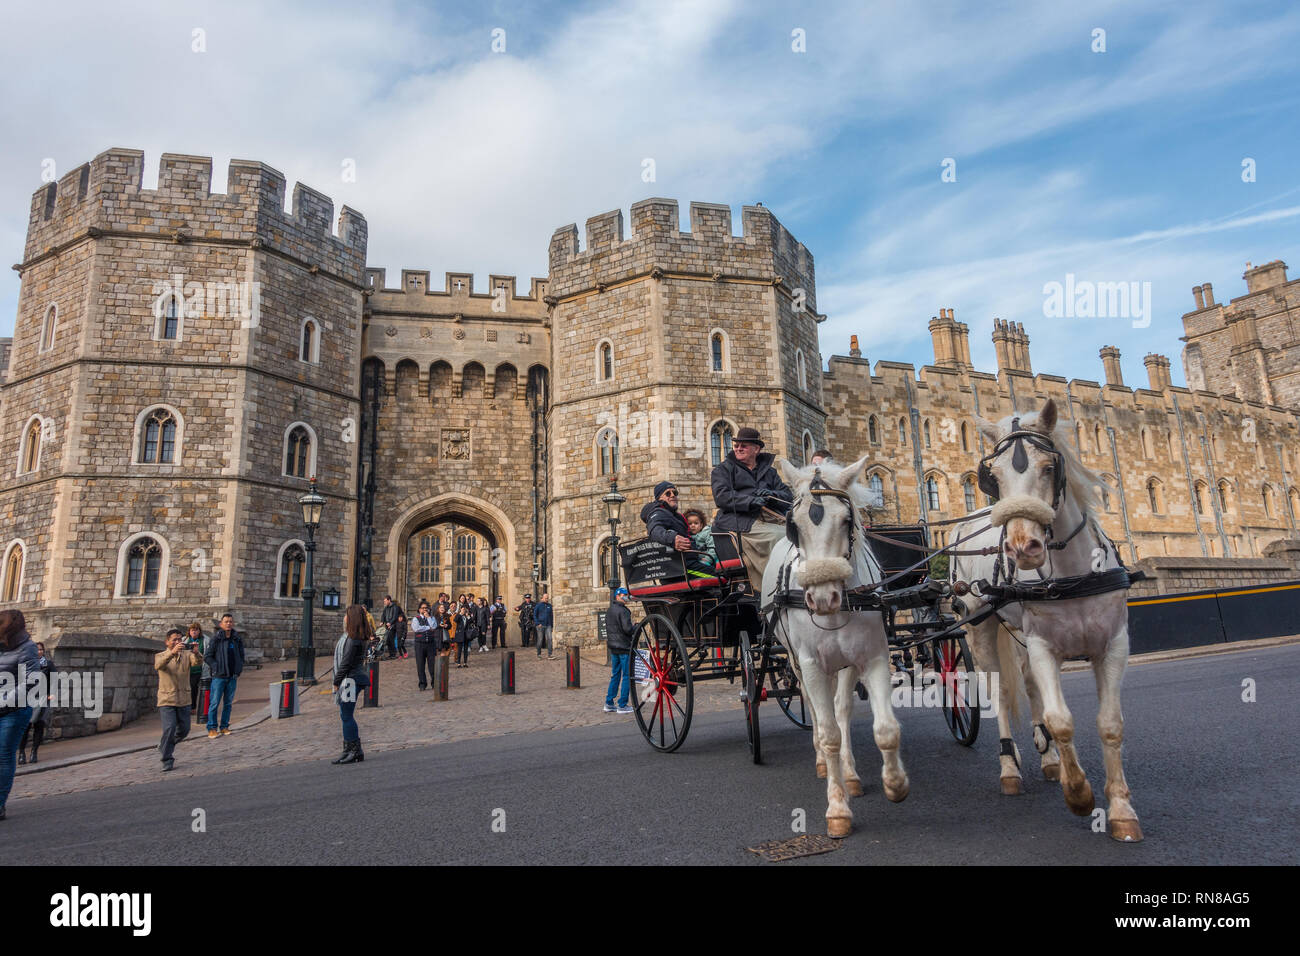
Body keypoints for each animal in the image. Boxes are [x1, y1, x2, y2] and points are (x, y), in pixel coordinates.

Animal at [759, 455, 909, 837]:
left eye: (846, 520)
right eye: (793, 526)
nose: (823, 598)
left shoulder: (871, 657)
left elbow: (884, 729)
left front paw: (894, 784)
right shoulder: (810, 663)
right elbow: (828, 734)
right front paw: (838, 809)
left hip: (843, 664)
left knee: (841, 709)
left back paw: (850, 773)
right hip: (797, 661)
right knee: (815, 709)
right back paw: (825, 765)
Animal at [946, 400, 1138, 842]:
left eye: (1050, 466)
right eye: (993, 476)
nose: (1022, 548)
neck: (1071, 572)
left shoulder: (1113, 644)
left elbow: (1110, 724)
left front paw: (1121, 809)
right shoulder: (1043, 646)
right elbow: (1061, 720)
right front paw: (1079, 793)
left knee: (1029, 683)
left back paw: (1049, 758)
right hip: (981, 628)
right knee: (999, 692)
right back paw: (1009, 768)